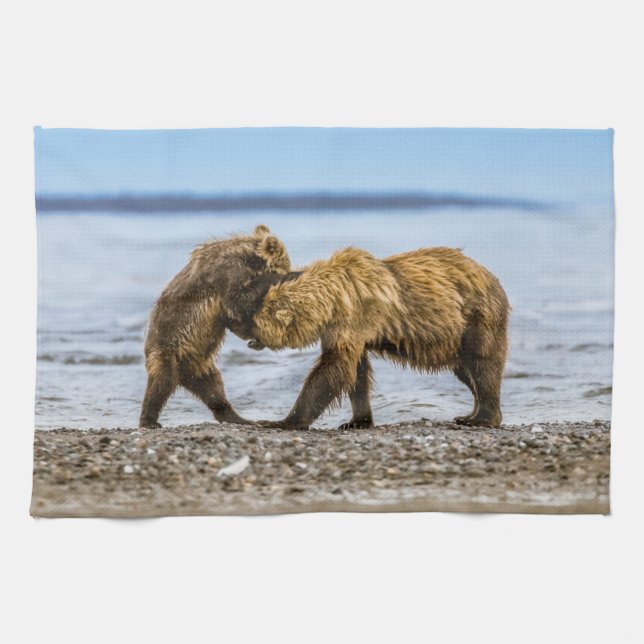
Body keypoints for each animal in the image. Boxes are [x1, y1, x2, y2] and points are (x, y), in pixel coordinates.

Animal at [138, 225, 291, 429]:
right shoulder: (227, 273)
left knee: (214, 388)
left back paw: (239, 418)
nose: (290, 269)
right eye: (287, 264)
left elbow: (236, 316)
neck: (248, 258)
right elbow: (238, 301)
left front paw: (255, 340)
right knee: (162, 383)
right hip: (167, 350)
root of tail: (184, 375)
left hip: (199, 363)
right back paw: (149, 421)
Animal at [225, 245, 509, 429]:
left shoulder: (354, 316)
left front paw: (282, 421)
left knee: (483, 364)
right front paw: (356, 421)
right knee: (465, 370)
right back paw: (472, 412)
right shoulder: (344, 329)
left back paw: (481, 417)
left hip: (475, 319)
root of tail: (492, 277)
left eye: (246, 314)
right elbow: (356, 371)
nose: (230, 323)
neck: (330, 299)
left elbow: (334, 367)